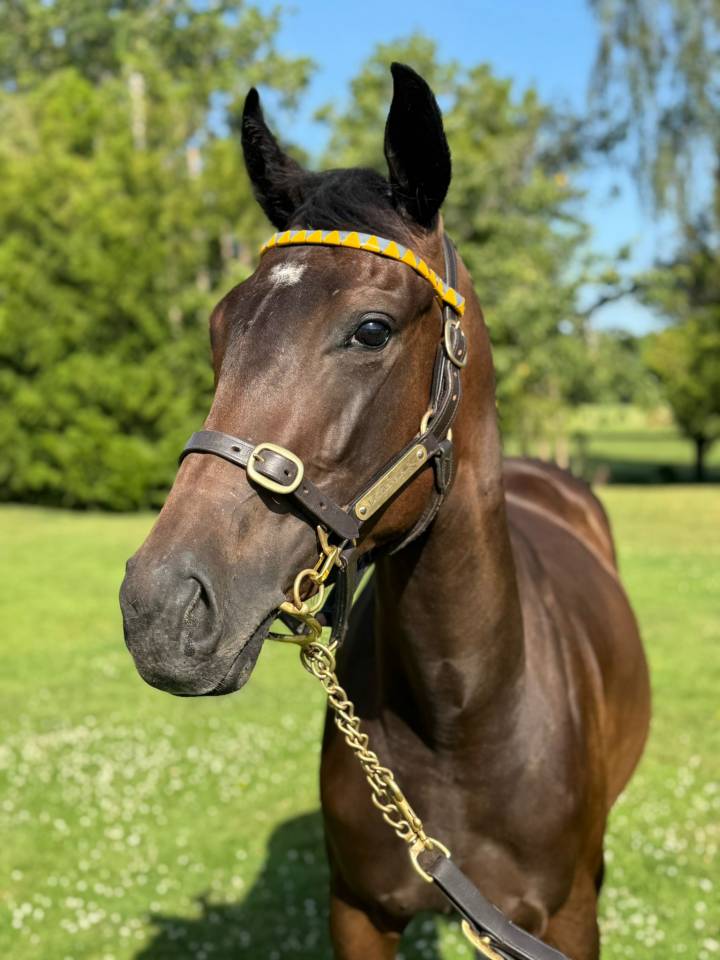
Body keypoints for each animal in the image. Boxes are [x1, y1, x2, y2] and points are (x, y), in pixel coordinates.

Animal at [120, 63, 650, 959]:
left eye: (371, 329)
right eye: (221, 326)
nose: (159, 607)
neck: (465, 716)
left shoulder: (570, 922)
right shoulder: (359, 911)